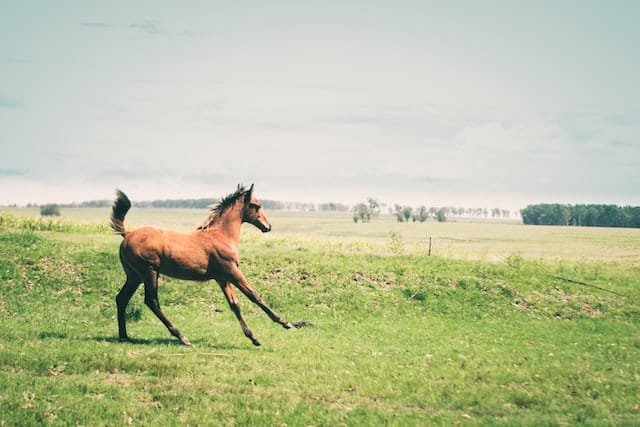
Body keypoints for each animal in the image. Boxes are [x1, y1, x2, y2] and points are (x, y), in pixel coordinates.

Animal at [111, 185, 302, 348]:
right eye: (257, 205)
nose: (268, 226)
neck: (221, 236)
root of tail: (127, 234)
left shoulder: (222, 278)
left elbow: (235, 305)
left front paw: (253, 337)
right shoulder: (232, 271)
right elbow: (254, 296)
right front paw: (286, 323)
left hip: (134, 276)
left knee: (122, 298)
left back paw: (124, 336)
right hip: (149, 272)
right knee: (151, 301)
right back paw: (182, 337)